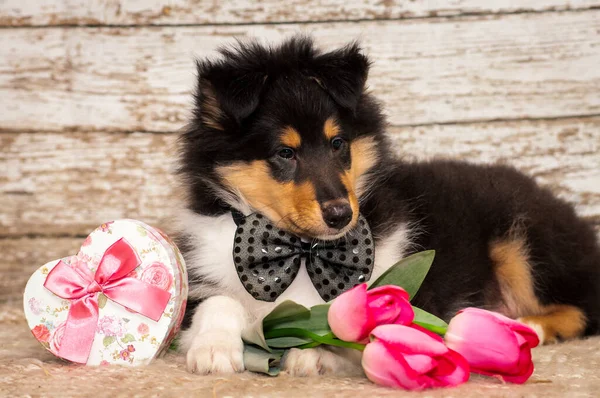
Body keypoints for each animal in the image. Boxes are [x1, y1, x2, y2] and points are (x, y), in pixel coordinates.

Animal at [173, 35, 600, 374]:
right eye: (284, 152)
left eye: (338, 143)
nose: (341, 215)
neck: (300, 251)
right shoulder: (204, 282)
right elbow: (219, 303)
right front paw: (213, 350)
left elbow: (351, 327)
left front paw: (315, 354)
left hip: (524, 242)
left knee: (582, 309)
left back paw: (527, 326)